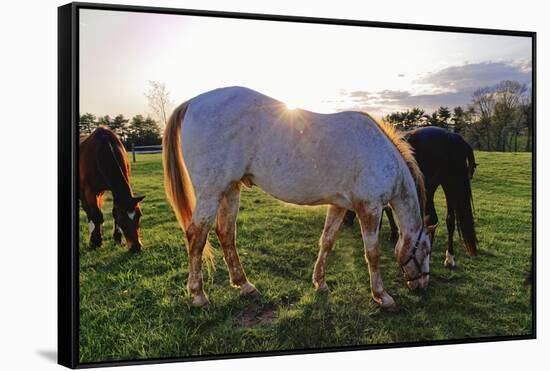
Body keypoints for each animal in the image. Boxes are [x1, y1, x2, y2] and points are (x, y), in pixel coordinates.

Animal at [164, 86, 436, 310]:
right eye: (425, 250)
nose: (422, 286)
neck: (381, 155)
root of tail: (193, 102)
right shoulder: (369, 209)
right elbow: (373, 253)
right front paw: (382, 296)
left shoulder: (338, 205)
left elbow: (327, 241)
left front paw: (320, 283)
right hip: (211, 192)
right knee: (196, 236)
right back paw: (199, 295)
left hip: (230, 189)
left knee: (226, 233)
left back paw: (244, 285)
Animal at [344, 127, 478, 268]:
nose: (346, 222)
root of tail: (449, 136)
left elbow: (386, 210)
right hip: (450, 185)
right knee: (450, 219)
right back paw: (449, 258)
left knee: (431, 219)